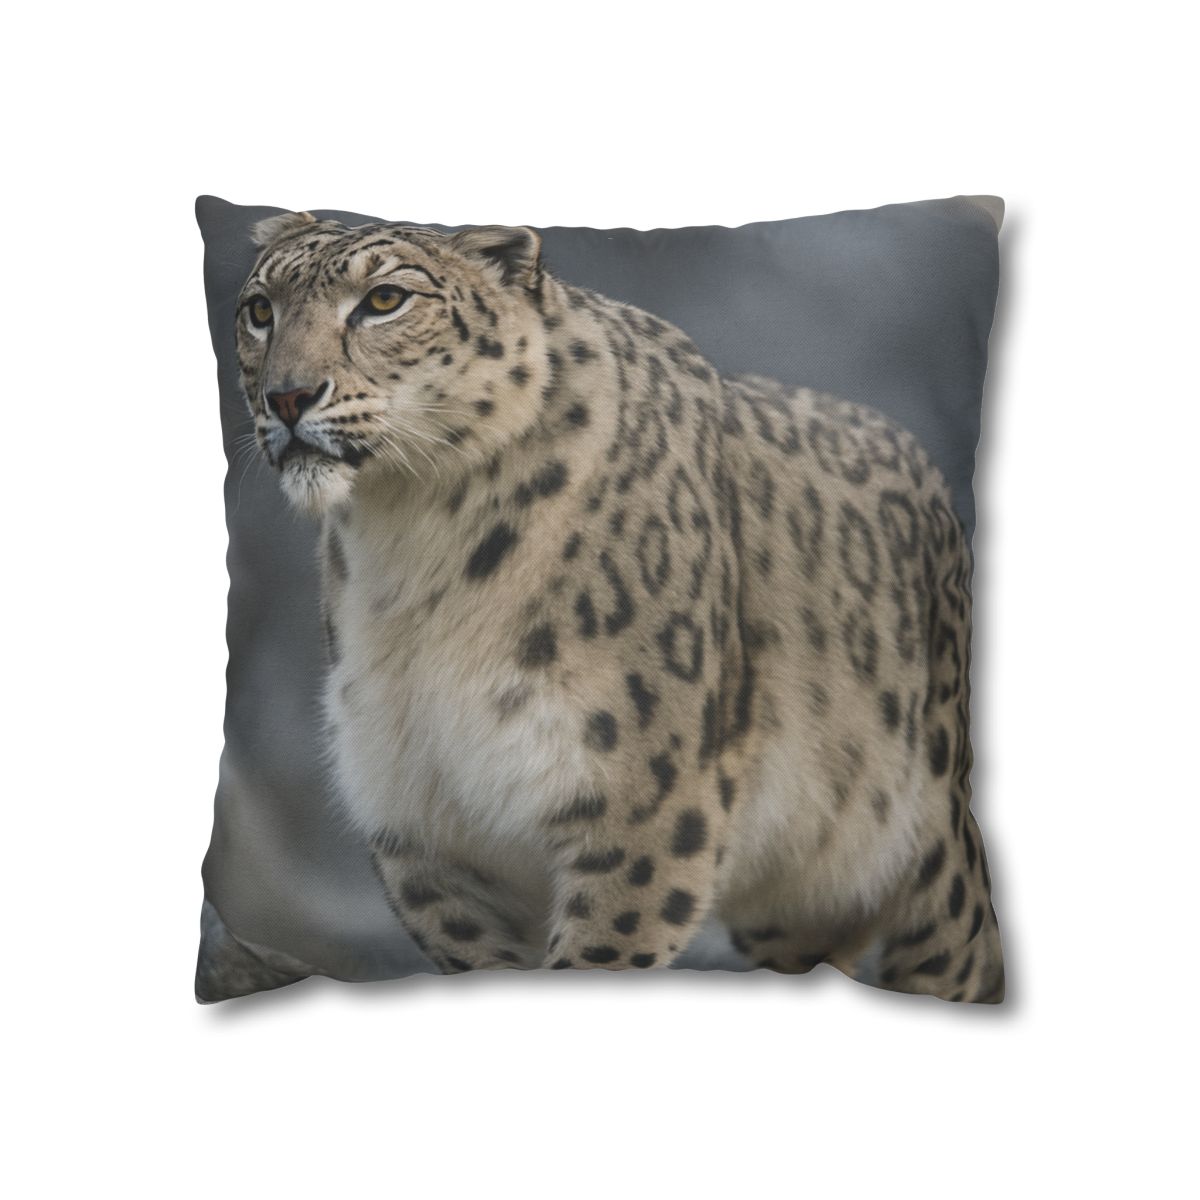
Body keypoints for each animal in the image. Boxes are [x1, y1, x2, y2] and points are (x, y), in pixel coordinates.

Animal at [234, 210, 1004, 1002]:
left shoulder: (641, 804)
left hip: (937, 865)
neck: (411, 546)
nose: (287, 397)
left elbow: (598, 954)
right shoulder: (424, 824)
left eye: (385, 300)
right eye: (259, 310)